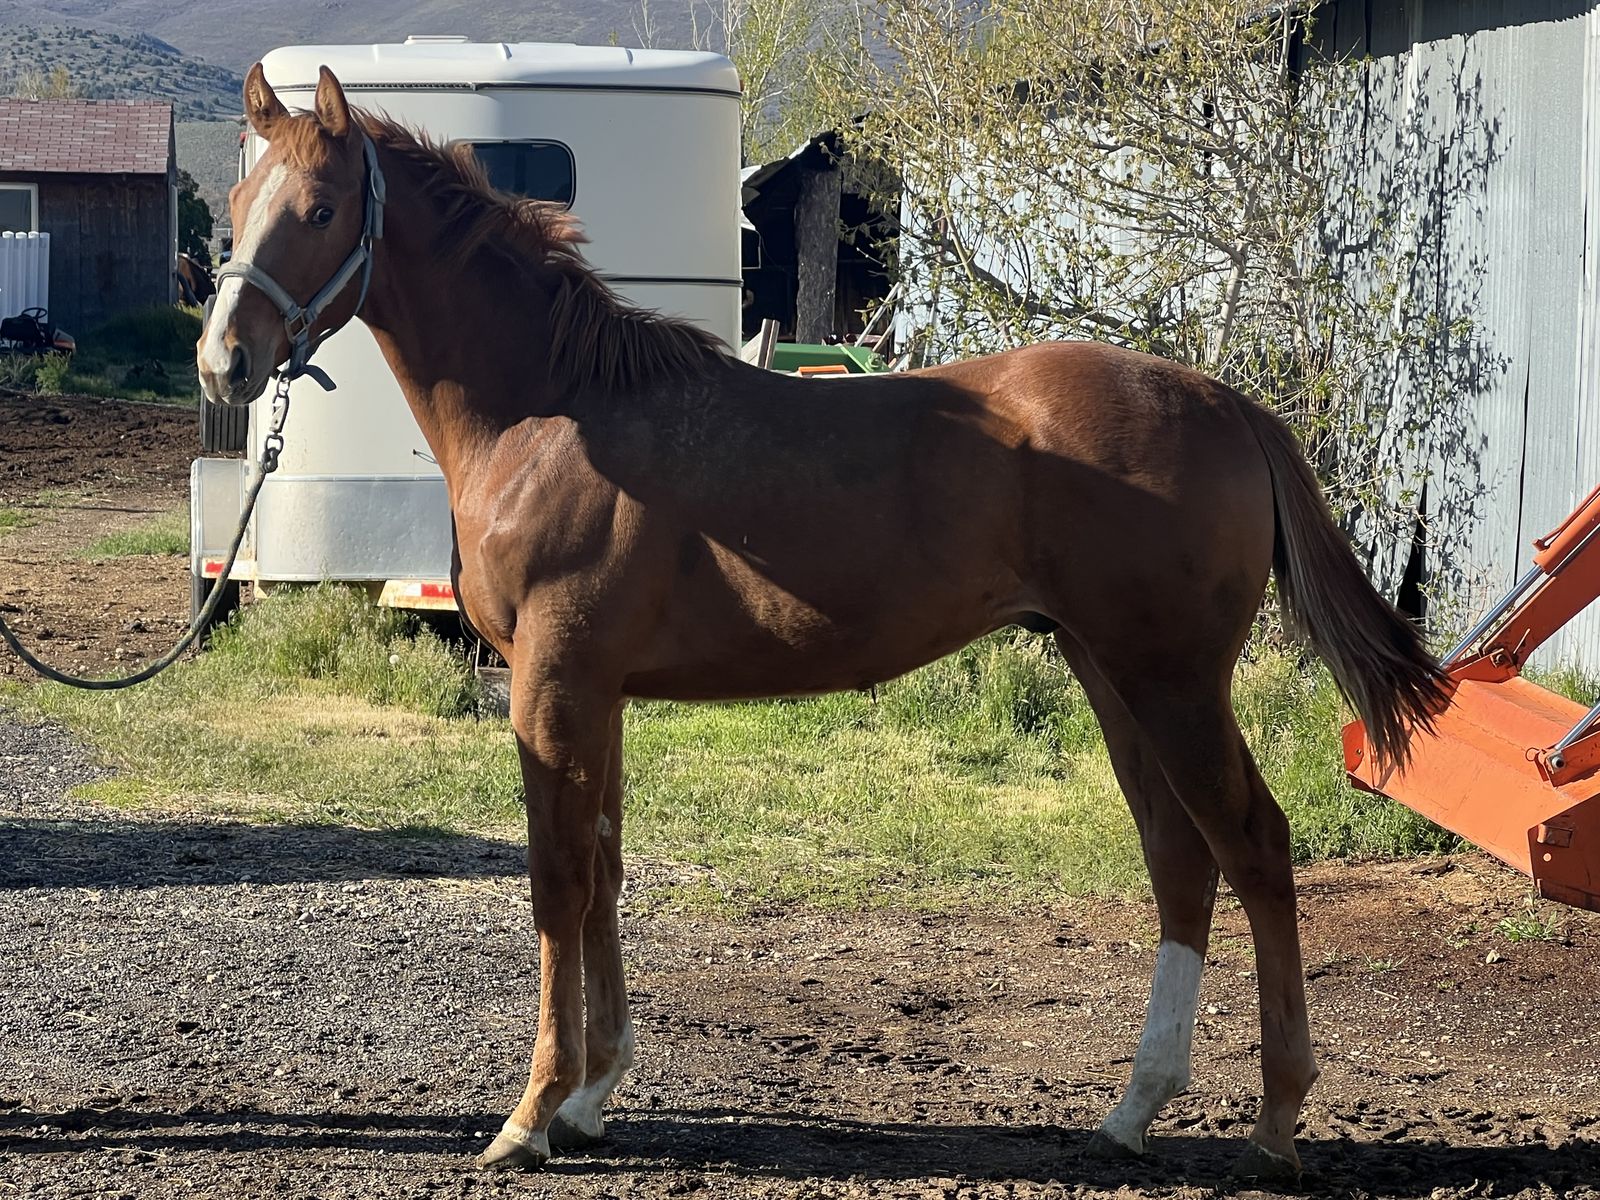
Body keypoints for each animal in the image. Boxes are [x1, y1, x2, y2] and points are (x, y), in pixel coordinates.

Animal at [197, 64, 1444, 1181]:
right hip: (1111, 674)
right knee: (1180, 862)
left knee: (1256, 849)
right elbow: (603, 870)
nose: (224, 361)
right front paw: (593, 1098)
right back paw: (1132, 1110)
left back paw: (1275, 1122)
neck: (553, 414)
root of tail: (1229, 403)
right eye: (238, 200)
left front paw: (530, 1115)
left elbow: (557, 884)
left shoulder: (552, 687)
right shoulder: (595, 693)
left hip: (1170, 681)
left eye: (317, 209)